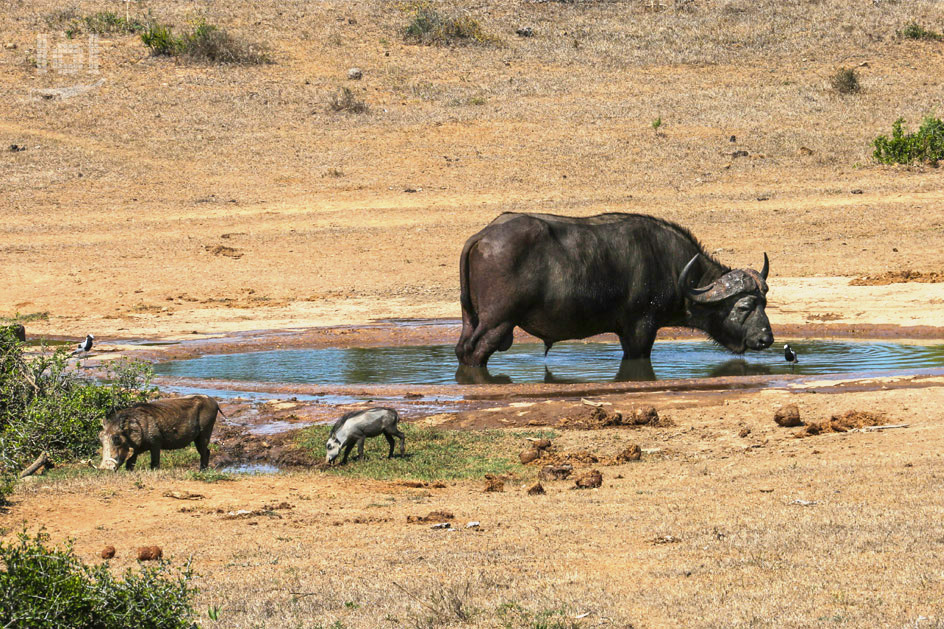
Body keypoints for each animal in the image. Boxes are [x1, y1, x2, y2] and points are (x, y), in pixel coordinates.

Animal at [456, 212, 776, 366]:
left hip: (471, 319)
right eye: (745, 306)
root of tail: (483, 236)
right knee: (474, 353)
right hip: (497, 322)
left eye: (765, 304)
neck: (674, 270)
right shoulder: (641, 329)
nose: (766, 339)